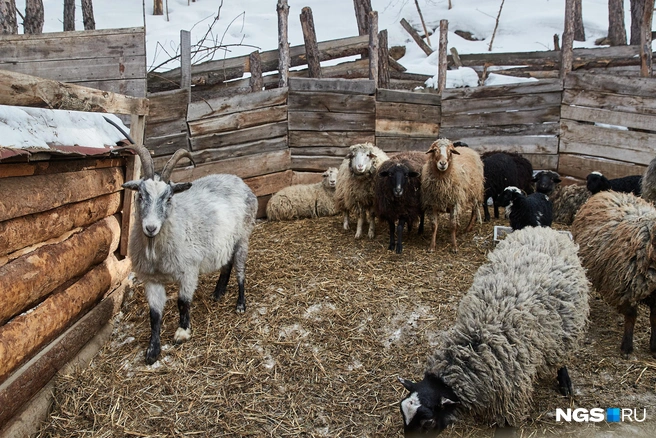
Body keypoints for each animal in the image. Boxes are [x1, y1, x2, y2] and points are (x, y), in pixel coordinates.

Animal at [121, 145, 258, 364]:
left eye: (169, 197)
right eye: (140, 195)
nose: (150, 228)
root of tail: (238, 179)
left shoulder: (188, 271)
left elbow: (182, 302)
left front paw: (182, 332)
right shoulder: (151, 279)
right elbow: (154, 314)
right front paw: (152, 351)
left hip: (243, 237)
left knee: (240, 271)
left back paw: (240, 304)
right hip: (225, 241)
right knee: (227, 263)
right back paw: (218, 292)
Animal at [398, 226, 592, 434]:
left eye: (428, 423)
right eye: (403, 414)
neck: (477, 342)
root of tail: (544, 230)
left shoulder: (511, 397)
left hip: (566, 329)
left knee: (561, 359)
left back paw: (565, 383)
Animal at [572, 192, 656, 360]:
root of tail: (607, 192)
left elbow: (654, 318)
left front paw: (655, 346)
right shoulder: (625, 286)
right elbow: (631, 315)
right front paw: (627, 347)